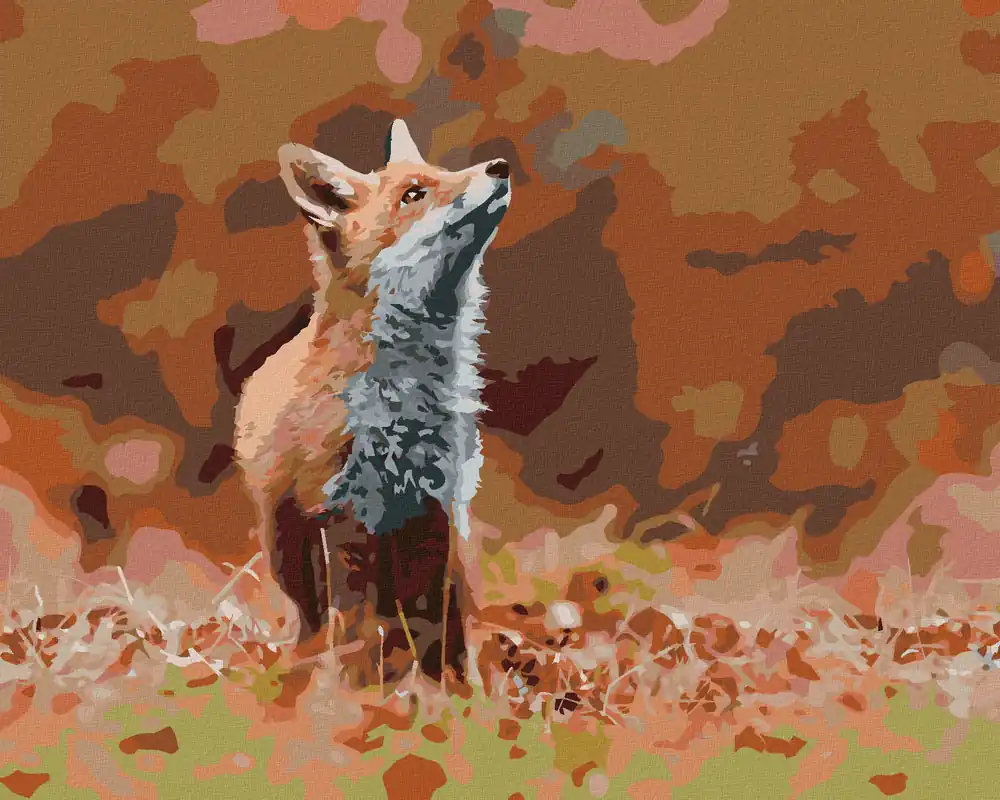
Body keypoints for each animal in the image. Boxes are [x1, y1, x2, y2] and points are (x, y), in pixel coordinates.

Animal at [233, 119, 511, 651]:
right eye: (414, 194)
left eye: (444, 171)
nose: (501, 166)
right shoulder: (341, 508)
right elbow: (359, 626)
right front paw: (357, 674)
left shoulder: (434, 507)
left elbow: (438, 630)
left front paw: (442, 678)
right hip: (285, 550)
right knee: (314, 618)